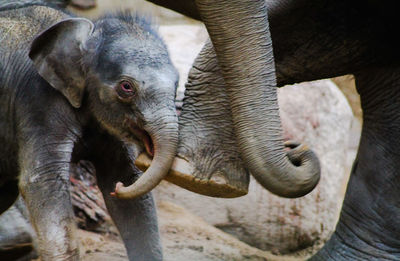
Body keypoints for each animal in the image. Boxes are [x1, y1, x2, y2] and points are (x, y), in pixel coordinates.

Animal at [0, 2, 178, 260]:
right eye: (126, 87)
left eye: (177, 84)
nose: (119, 191)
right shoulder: (37, 101)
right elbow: (43, 182)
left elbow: (126, 182)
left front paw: (120, 184)